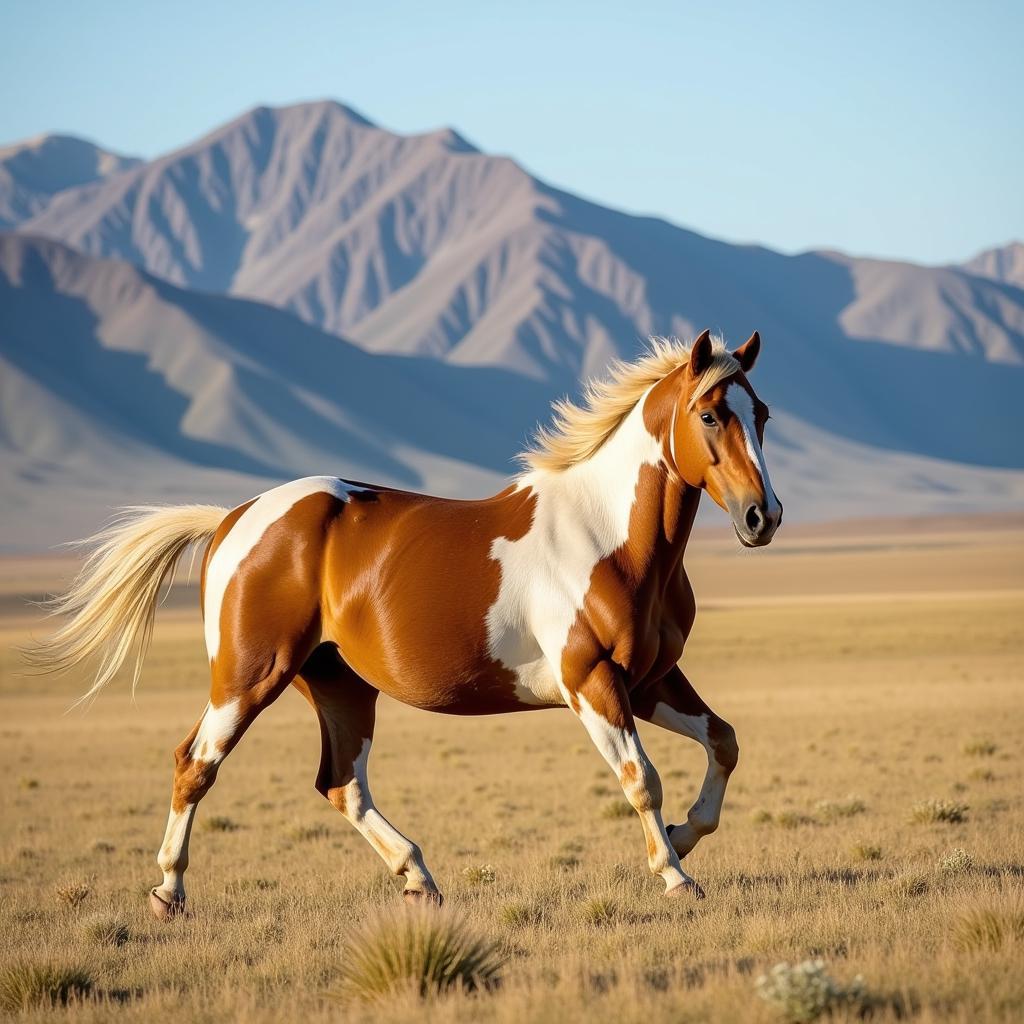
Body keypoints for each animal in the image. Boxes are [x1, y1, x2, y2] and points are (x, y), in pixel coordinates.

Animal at [32, 329, 782, 921]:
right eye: (709, 415)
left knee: (341, 783)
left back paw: (418, 879)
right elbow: (640, 777)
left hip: (338, 684)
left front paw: (682, 837)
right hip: (249, 677)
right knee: (196, 764)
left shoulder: (650, 679)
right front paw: (676, 877)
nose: (762, 517)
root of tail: (231, 520)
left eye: (764, 414)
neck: (608, 539)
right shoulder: (590, 681)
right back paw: (169, 892)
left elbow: (725, 742)